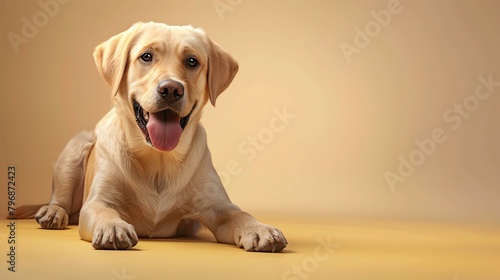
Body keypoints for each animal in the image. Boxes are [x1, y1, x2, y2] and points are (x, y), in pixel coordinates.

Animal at [14, 20, 286, 252]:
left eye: (192, 61)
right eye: (146, 56)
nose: (171, 89)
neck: (159, 160)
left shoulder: (218, 207)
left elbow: (240, 213)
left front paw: (260, 229)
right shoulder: (96, 202)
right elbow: (105, 211)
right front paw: (113, 227)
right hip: (75, 149)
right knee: (60, 198)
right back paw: (53, 212)